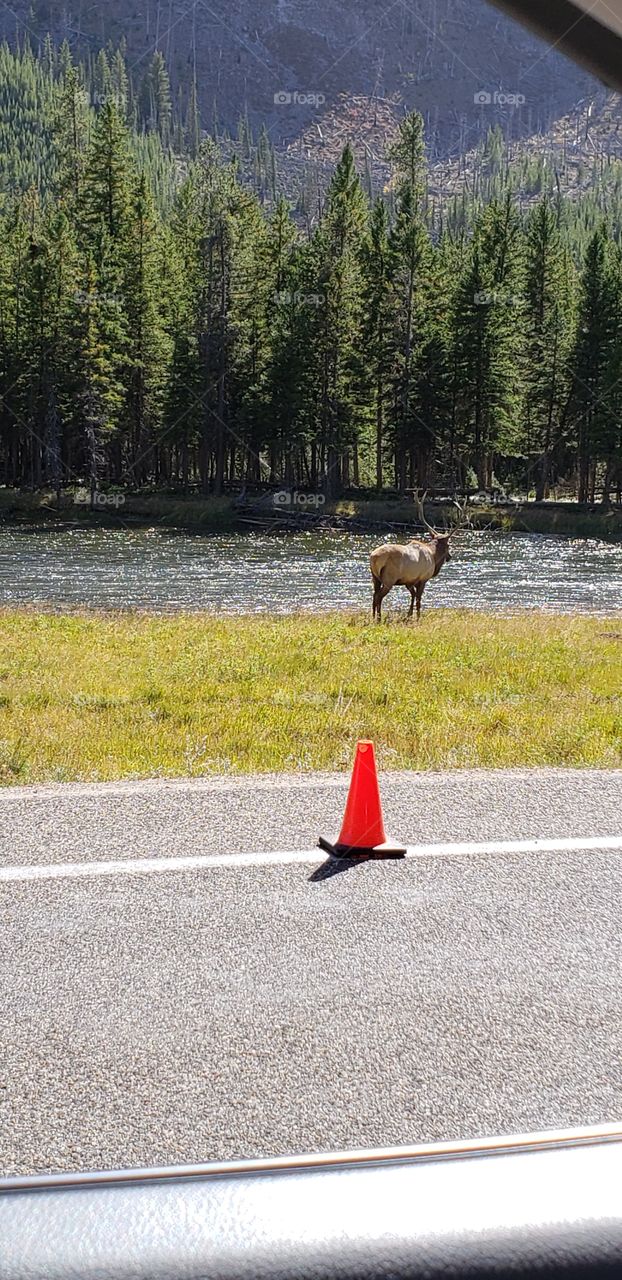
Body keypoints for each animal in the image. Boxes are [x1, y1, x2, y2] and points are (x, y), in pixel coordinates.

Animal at [370, 492, 466, 622]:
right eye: (449, 545)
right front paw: (418, 617)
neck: (433, 556)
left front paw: (409, 615)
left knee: (374, 596)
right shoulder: (423, 578)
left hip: (375, 577)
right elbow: (418, 600)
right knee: (379, 597)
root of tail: (374, 558)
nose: (450, 556)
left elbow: (413, 596)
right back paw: (379, 619)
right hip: (389, 578)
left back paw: (373, 617)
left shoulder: (409, 581)